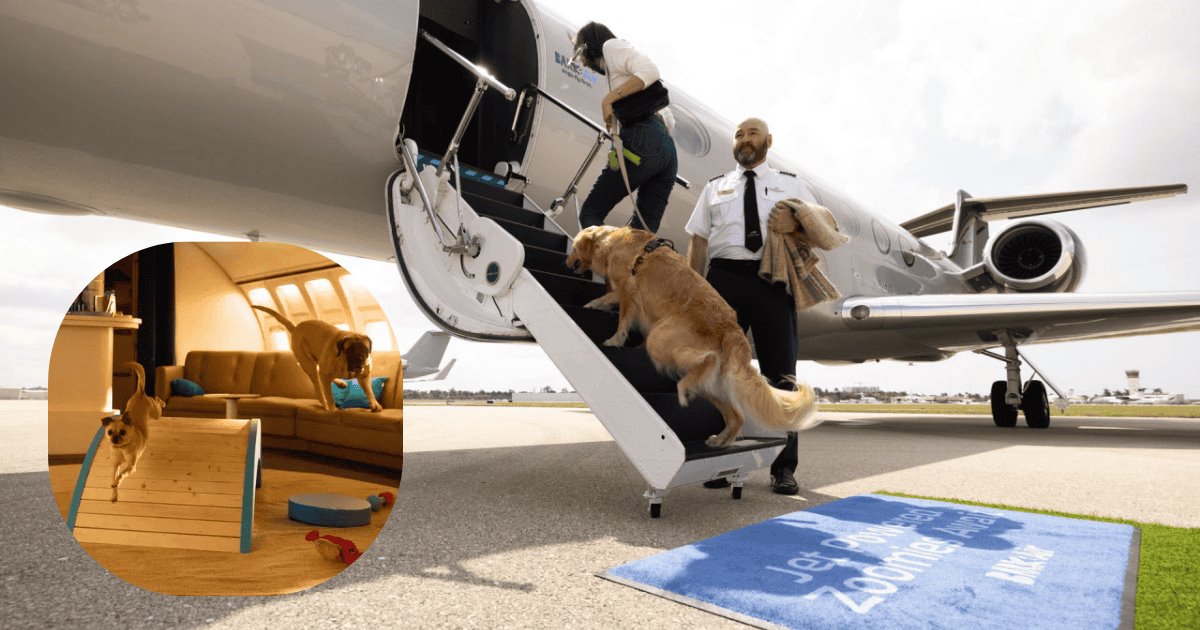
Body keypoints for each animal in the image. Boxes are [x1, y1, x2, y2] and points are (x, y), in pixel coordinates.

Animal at [102, 360, 162, 499]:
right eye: (109, 432)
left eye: (123, 432)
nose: (114, 439)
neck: (122, 448)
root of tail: (140, 392)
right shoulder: (115, 464)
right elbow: (114, 474)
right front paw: (114, 491)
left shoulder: (131, 466)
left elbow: (121, 474)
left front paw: (117, 481)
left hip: (156, 413)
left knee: (156, 400)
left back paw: (161, 401)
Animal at [250, 306, 381, 412]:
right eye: (350, 350)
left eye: (364, 349)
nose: (360, 359)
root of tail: (296, 328)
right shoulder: (325, 374)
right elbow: (329, 395)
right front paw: (332, 408)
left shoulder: (364, 376)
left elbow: (369, 391)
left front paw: (374, 403)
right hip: (309, 365)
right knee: (319, 387)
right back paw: (325, 404)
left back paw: (340, 383)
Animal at [566, 223, 820, 444]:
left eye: (574, 247)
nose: (567, 263)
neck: (613, 241)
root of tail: (731, 328)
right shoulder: (623, 291)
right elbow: (608, 297)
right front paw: (594, 304)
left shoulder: (629, 288)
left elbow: (622, 317)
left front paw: (614, 339)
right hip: (710, 385)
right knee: (737, 416)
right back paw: (721, 440)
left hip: (661, 338)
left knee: (706, 361)